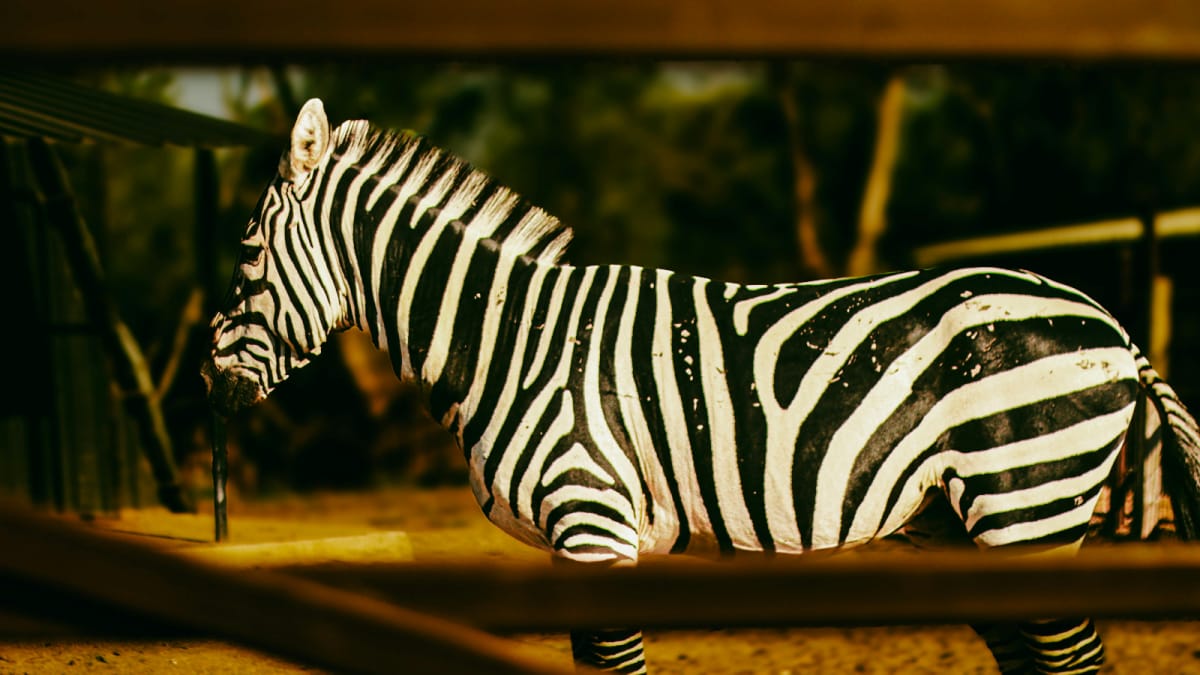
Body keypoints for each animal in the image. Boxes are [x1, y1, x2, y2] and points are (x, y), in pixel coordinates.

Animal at [202, 98, 1200, 674]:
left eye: (245, 256)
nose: (207, 386)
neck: (511, 339)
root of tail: (1110, 324)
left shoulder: (591, 519)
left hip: (1027, 499)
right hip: (970, 525)